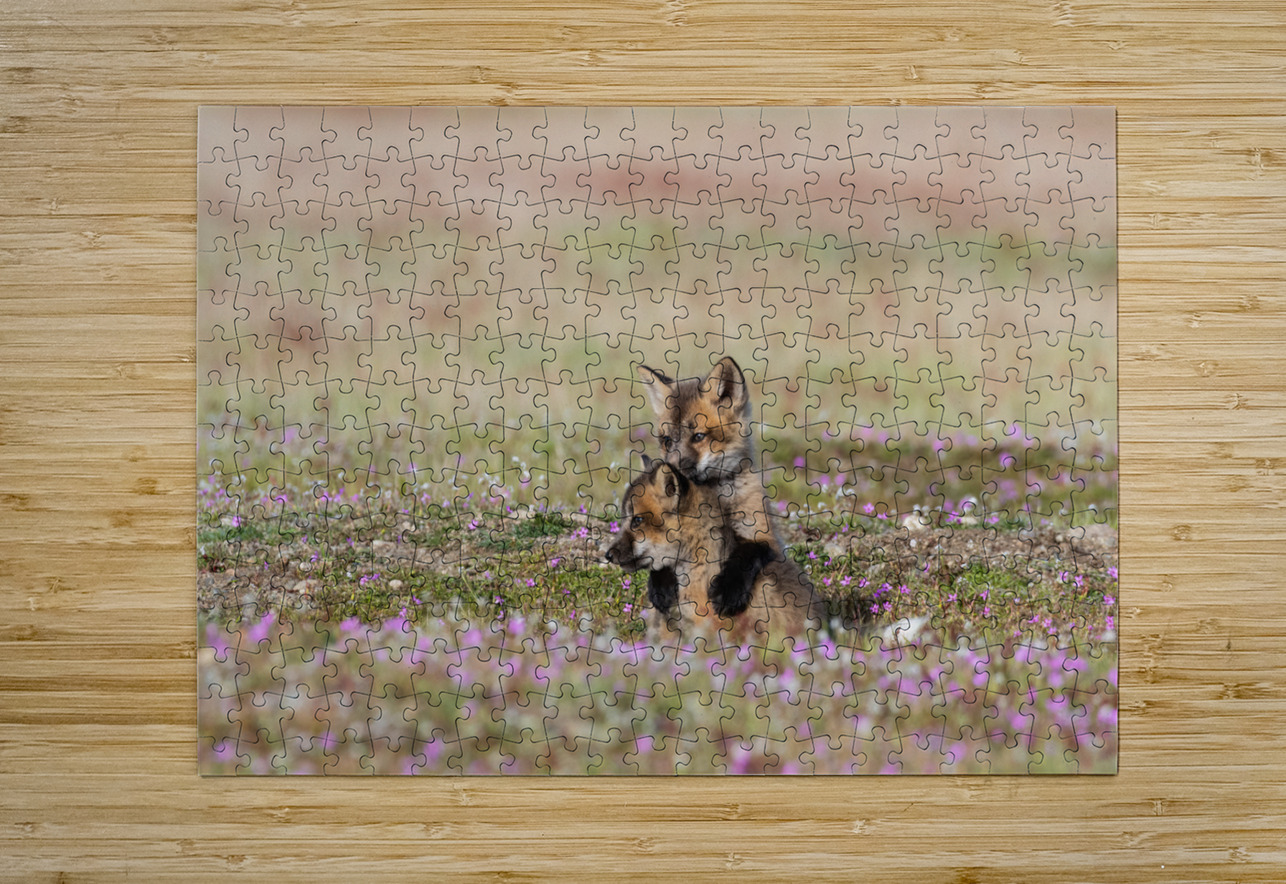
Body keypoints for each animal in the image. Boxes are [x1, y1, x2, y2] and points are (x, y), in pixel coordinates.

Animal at [636, 355, 783, 619]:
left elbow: (746, 555)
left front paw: (729, 591)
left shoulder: (767, 538)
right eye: (667, 441)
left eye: (698, 437)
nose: (671, 472)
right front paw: (660, 584)